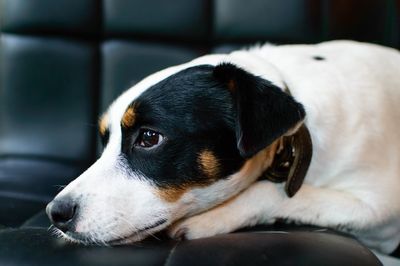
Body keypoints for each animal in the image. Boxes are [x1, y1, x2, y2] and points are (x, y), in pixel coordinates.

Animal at [46, 40, 400, 254]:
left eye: (148, 138)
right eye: (105, 141)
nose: (55, 213)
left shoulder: (378, 211)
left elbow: (273, 192)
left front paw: (212, 218)